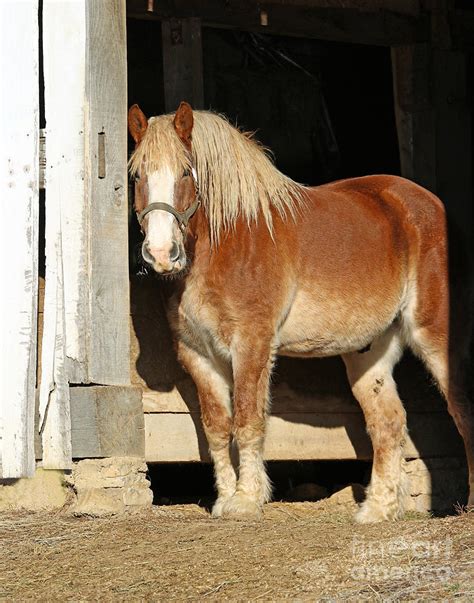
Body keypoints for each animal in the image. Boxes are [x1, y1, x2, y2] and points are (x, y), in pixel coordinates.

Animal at [128, 101, 472, 520]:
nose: (161, 254)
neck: (229, 242)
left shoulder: (252, 344)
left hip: (434, 336)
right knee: (388, 423)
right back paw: (377, 510)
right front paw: (224, 500)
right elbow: (217, 427)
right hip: (369, 354)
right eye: (138, 175)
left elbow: (247, 419)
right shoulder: (197, 354)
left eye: (184, 172)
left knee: (463, 411)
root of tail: (430, 207)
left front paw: (246, 500)